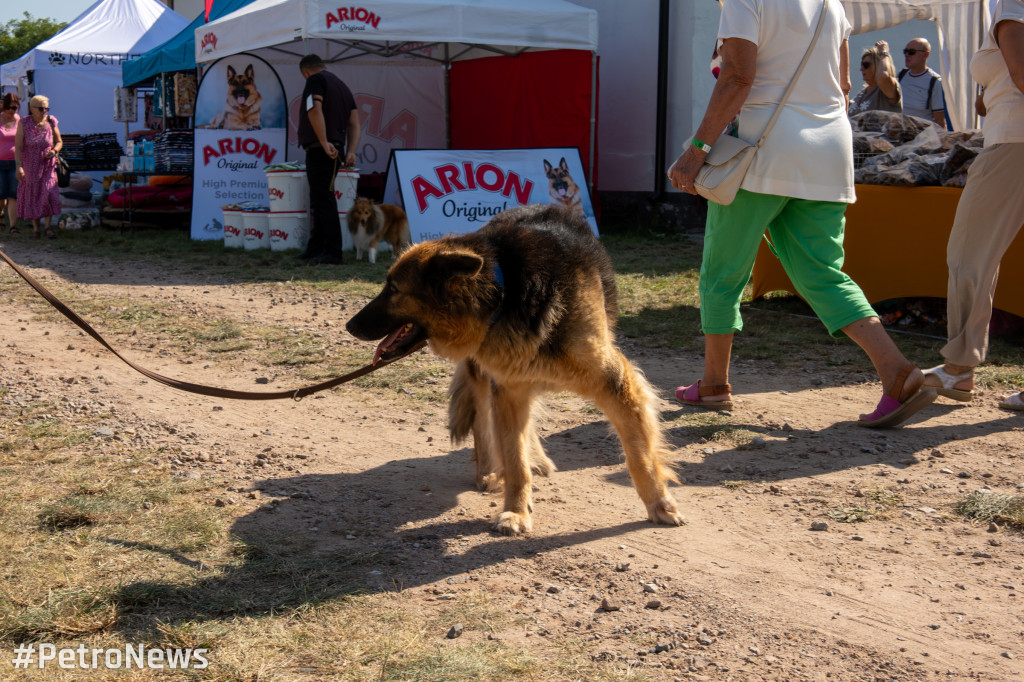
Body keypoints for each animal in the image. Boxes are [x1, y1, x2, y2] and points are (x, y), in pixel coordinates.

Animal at [348, 204, 684, 532]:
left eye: (393, 289)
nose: (349, 326)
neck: (508, 293)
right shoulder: (508, 391)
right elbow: (514, 461)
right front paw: (516, 512)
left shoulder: (615, 383)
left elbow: (640, 454)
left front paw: (659, 503)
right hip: (488, 379)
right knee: (483, 422)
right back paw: (489, 471)